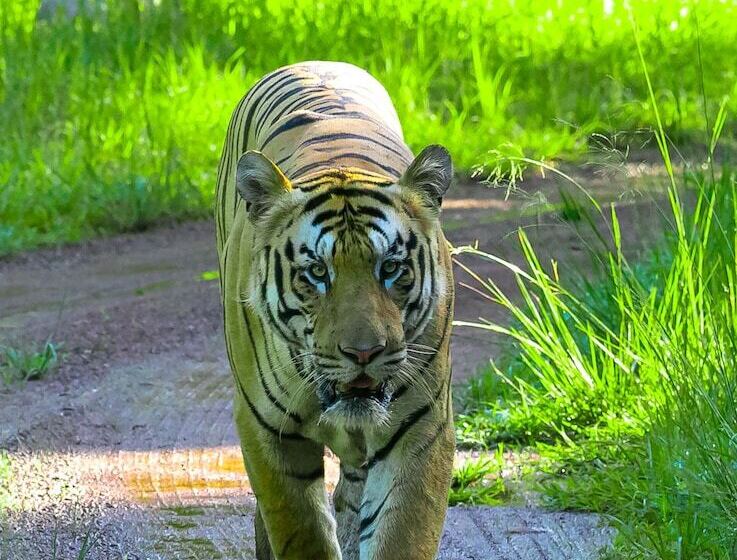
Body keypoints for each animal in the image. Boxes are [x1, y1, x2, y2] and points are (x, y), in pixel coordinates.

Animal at [215, 61, 455, 560]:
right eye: (317, 272)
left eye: (391, 268)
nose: (363, 353)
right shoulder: (267, 433)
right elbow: (301, 533)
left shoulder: (421, 431)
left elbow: (402, 535)